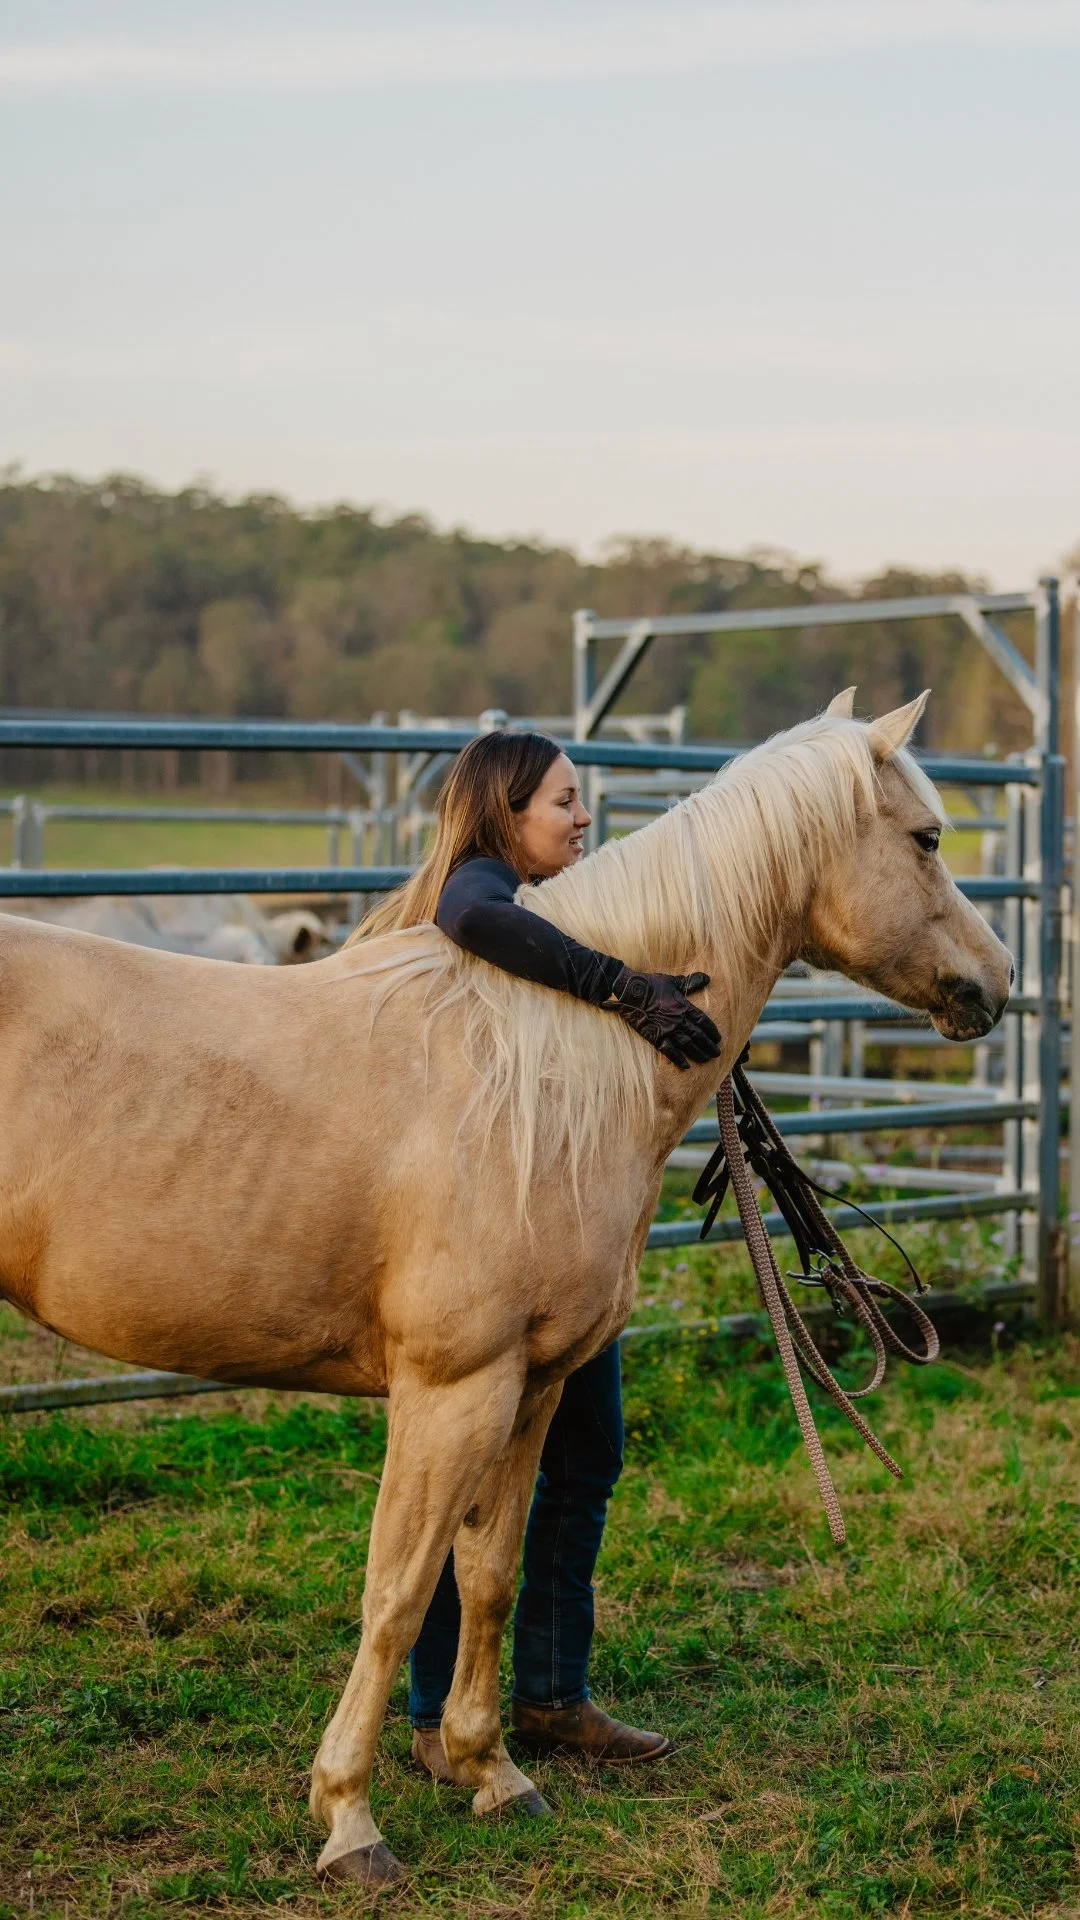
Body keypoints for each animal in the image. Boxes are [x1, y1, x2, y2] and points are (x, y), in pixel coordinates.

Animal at [0, 692, 1011, 1887]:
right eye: (929, 838)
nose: (996, 984)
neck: (547, 1068)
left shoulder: (530, 1387)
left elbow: (487, 1571)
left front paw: (491, 1770)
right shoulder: (452, 1391)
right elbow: (397, 1591)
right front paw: (349, 1818)